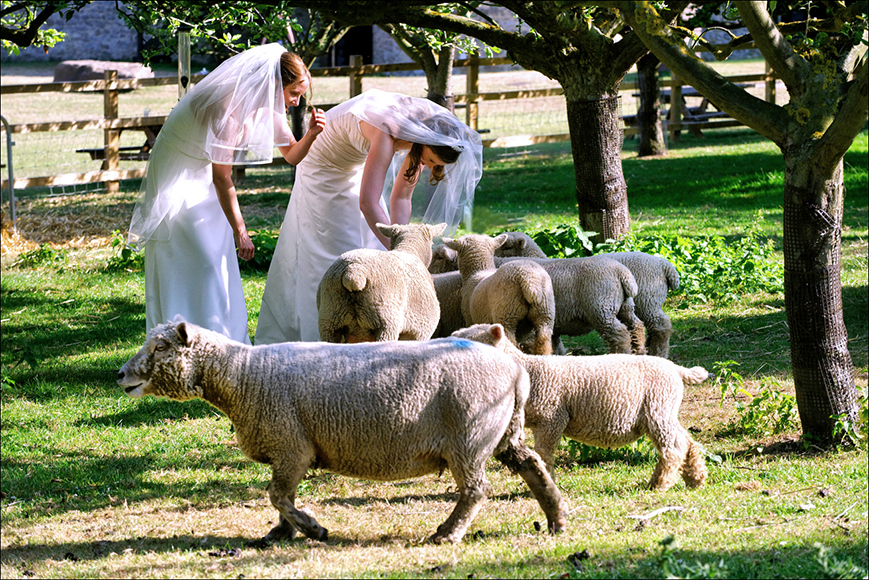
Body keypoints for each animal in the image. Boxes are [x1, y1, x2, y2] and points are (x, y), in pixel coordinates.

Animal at [118, 318, 569, 544]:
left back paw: (447, 534)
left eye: (161, 347)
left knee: (475, 491)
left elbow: (277, 495)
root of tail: (515, 370)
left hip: (469, 439)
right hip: (505, 433)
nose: (120, 375)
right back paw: (557, 520)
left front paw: (312, 529)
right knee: (533, 467)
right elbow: (282, 496)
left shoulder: (291, 445)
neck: (244, 375)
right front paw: (279, 534)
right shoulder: (288, 451)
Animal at [443, 234, 644, 356]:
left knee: (620, 333)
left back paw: (623, 354)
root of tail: (622, 274)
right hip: (624, 306)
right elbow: (554, 345)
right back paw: (640, 350)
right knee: (636, 326)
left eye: (507, 247)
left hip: (601, 308)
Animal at [452, 323, 709, 492]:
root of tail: (675, 368)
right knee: (687, 441)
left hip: (658, 409)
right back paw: (695, 478)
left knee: (673, 447)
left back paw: (659, 484)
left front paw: (544, 482)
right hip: (664, 411)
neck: (529, 370)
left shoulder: (551, 418)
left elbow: (544, 454)